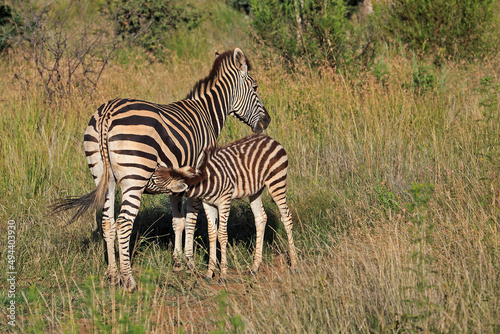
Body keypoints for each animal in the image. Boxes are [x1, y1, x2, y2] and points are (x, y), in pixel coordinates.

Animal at [151, 133, 296, 282]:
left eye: (153, 179)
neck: (206, 182)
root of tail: (269, 138)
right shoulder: (208, 204)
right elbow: (211, 233)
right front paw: (209, 272)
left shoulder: (224, 201)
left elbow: (221, 234)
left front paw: (223, 274)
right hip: (255, 190)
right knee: (261, 218)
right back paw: (254, 267)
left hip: (276, 182)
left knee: (286, 218)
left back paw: (294, 264)